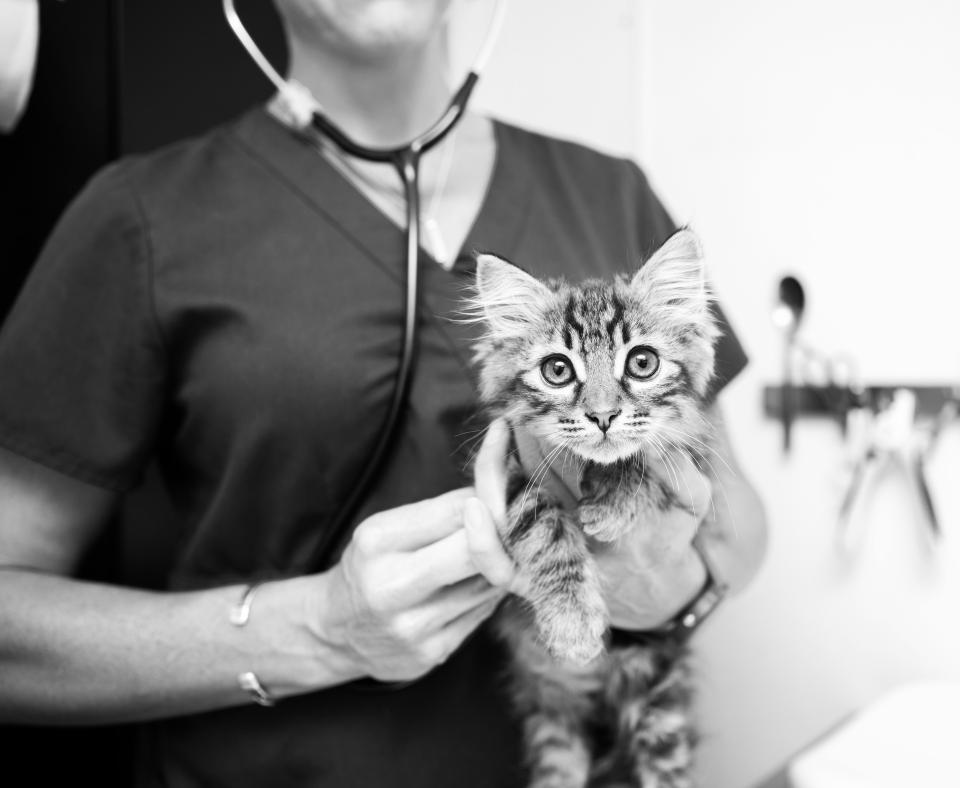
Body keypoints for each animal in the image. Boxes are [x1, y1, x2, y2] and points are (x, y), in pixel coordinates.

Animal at [464, 228, 720, 788]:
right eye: (557, 370)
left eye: (642, 363)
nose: (603, 416)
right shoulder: (507, 473)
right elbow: (546, 529)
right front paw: (573, 623)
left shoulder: (696, 458)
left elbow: (644, 456)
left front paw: (614, 500)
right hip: (550, 711)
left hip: (655, 694)